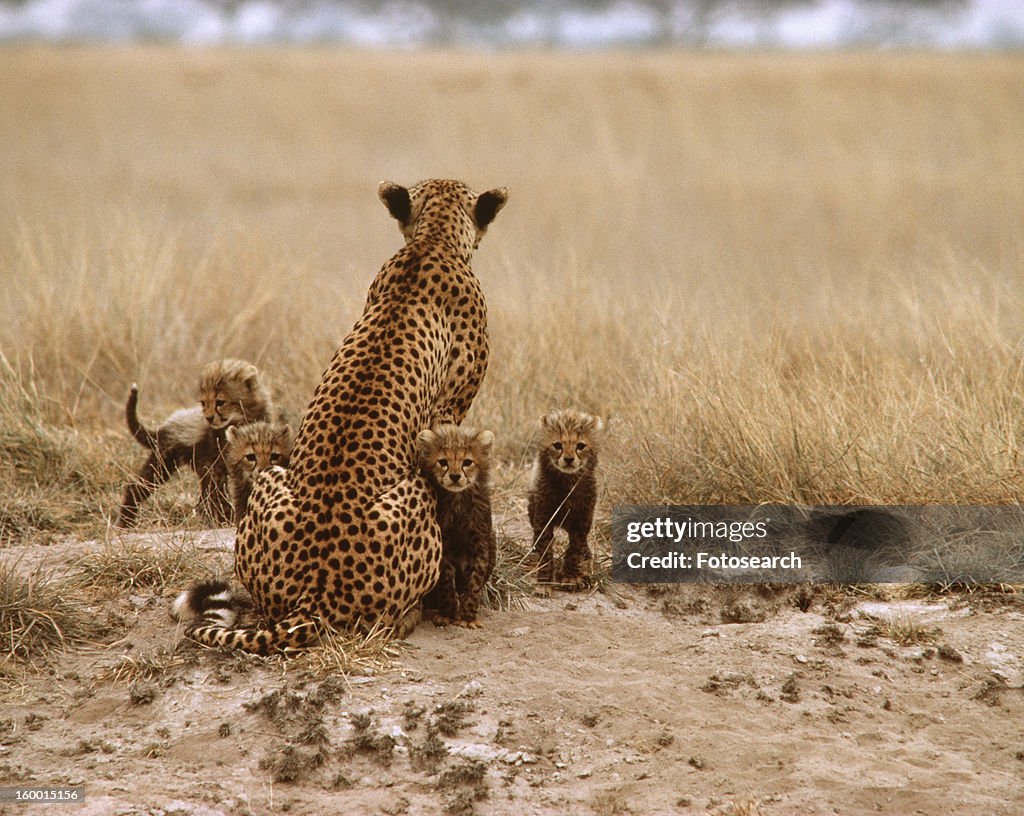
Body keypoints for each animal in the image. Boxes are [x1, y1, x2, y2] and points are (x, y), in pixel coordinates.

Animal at [182, 180, 509, 655]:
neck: (433, 240)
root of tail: (313, 596)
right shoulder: (448, 413)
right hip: (414, 491)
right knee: (387, 617)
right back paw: (410, 615)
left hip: (271, 479)